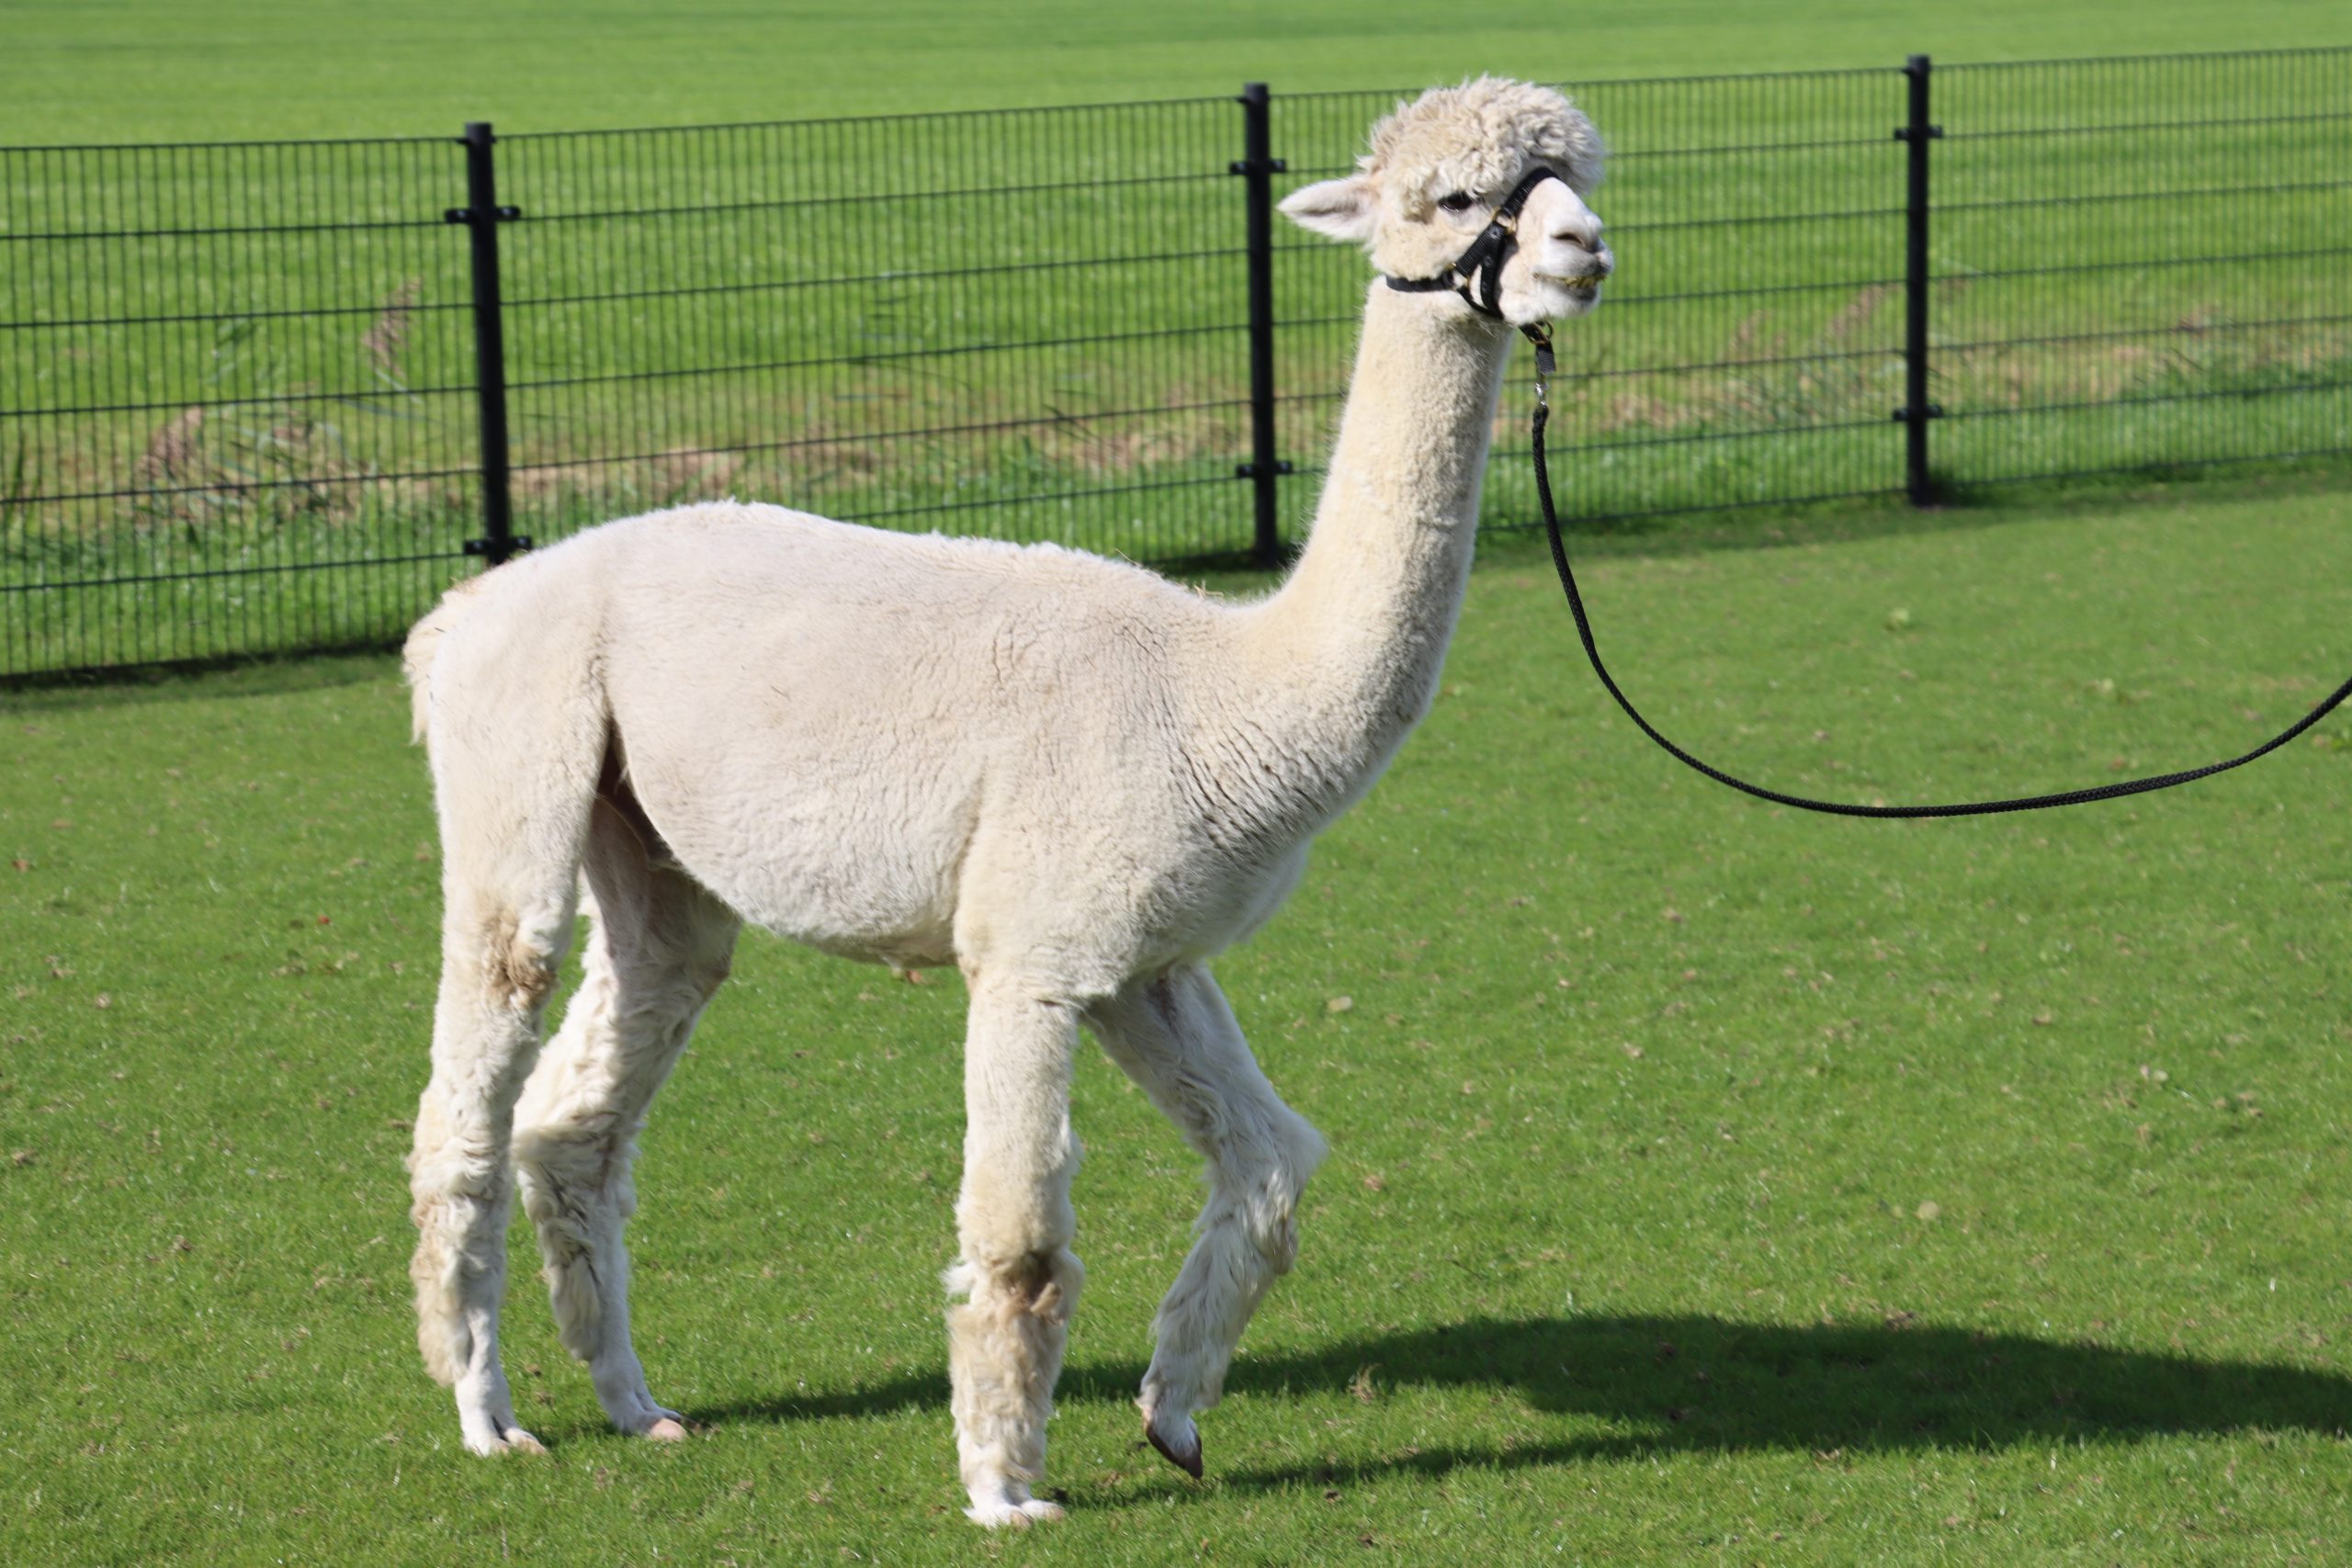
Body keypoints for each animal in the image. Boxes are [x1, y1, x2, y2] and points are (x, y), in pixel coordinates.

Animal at [401, 76, 1610, 1525]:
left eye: (1581, 171)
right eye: (1455, 197)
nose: (1583, 248)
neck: (1229, 695)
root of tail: (464, 607)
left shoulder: (1146, 956)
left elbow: (1271, 1167)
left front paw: (1174, 1414)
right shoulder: (1030, 950)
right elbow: (1023, 1238)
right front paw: (1001, 1488)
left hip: (648, 856)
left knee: (579, 1119)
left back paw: (638, 1405)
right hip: (515, 765)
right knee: (472, 1095)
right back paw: (486, 1413)